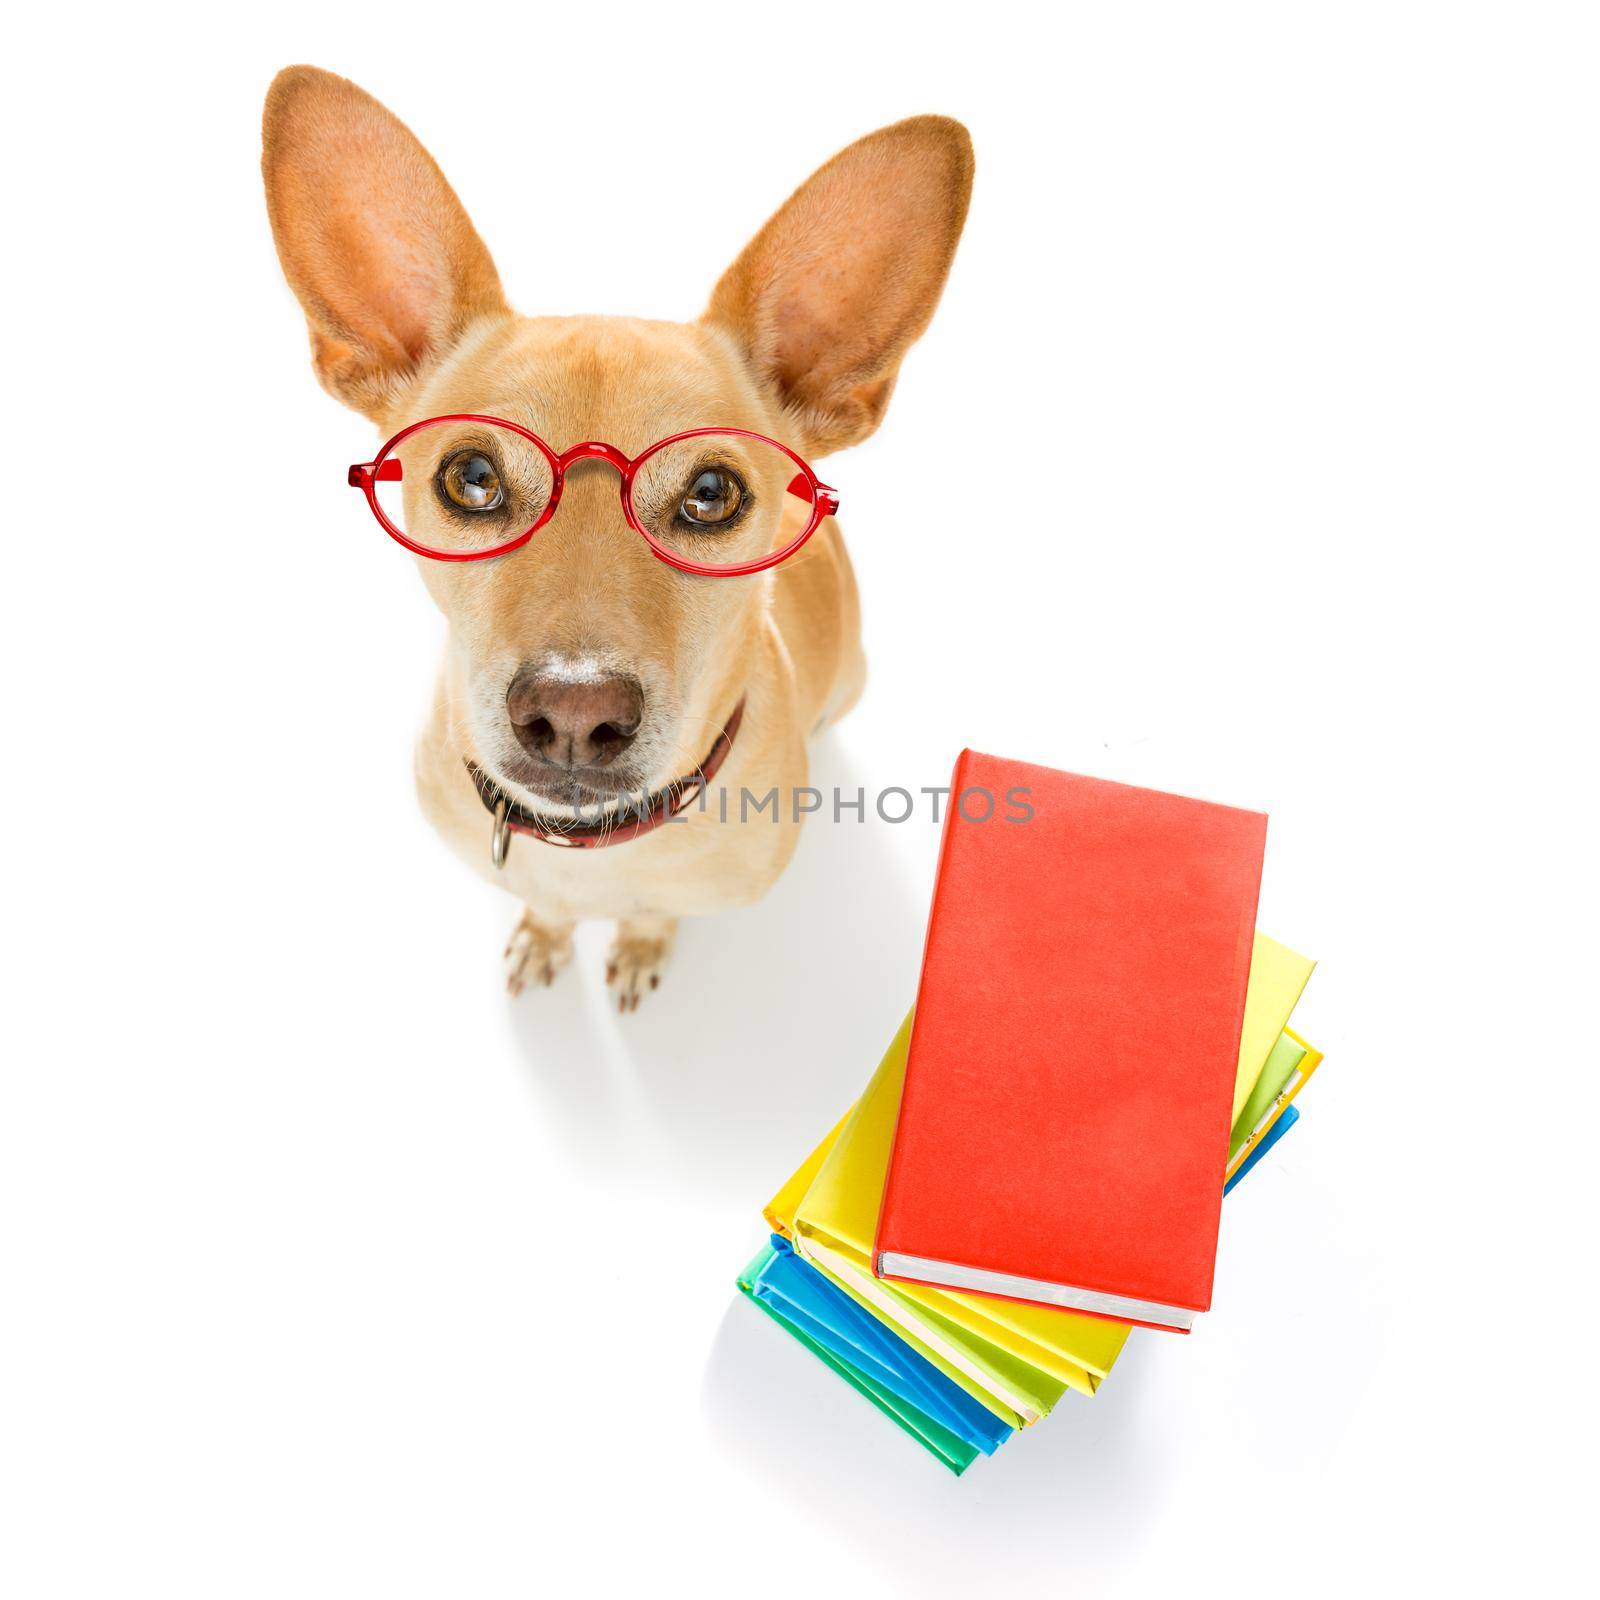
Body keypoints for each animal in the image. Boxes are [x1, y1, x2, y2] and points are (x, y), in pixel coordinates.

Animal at [259, 68, 972, 1011]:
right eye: (471, 477)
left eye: (711, 494)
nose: (572, 711)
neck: (589, 849)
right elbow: (549, 909)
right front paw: (546, 933)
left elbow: (656, 913)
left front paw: (637, 946)